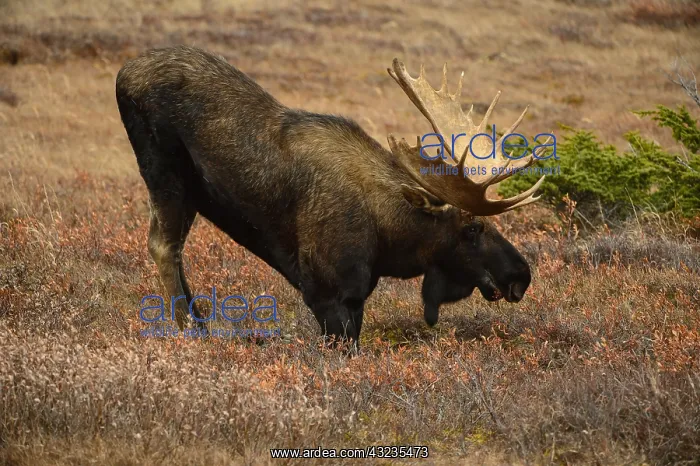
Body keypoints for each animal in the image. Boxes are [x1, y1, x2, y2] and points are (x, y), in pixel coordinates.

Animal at [116, 46, 550, 349]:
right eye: (471, 228)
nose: (520, 274)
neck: (389, 237)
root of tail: (123, 74)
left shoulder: (357, 298)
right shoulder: (327, 291)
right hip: (164, 171)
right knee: (163, 245)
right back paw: (194, 329)